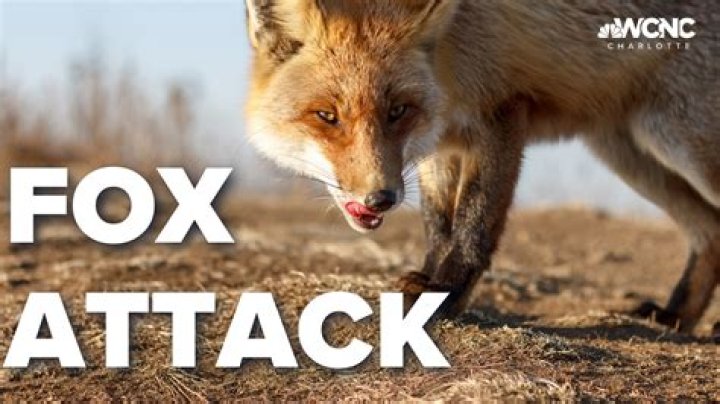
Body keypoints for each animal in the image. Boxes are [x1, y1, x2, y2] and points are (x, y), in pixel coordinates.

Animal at [243, 0, 720, 333]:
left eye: (398, 111)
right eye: (327, 116)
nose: (380, 199)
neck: (448, 55)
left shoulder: (501, 113)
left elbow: (474, 222)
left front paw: (445, 295)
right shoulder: (441, 143)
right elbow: (440, 226)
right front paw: (428, 283)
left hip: (678, 142)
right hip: (629, 153)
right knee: (709, 231)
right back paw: (675, 318)